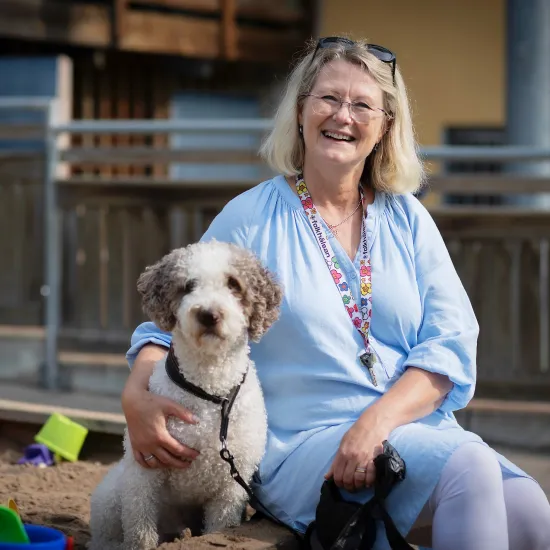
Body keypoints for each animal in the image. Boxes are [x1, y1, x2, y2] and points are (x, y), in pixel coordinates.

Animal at [89, 243, 284, 550]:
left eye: (233, 284)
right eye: (188, 286)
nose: (208, 314)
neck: (209, 393)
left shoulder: (231, 486)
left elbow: (220, 527)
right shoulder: (143, 474)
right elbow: (140, 530)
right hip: (109, 499)